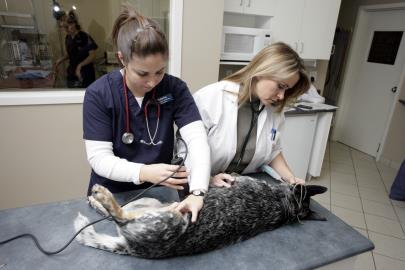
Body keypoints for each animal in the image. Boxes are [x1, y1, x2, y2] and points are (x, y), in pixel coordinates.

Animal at [73, 174, 326, 258]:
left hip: (173, 218)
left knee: (119, 215)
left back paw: (103, 196)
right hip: (155, 204)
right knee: (115, 213)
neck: (284, 206)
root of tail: (131, 247)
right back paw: (96, 200)